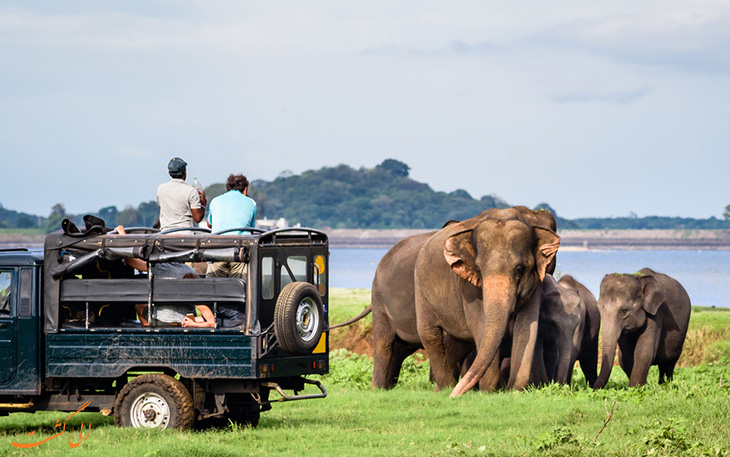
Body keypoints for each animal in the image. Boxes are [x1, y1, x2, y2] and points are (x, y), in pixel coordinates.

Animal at [412, 214, 560, 396]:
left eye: (519, 269)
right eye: (478, 269)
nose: (455, 396)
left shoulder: (535, 285)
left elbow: (527, 328)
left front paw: (513, 391)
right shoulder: (468, 287)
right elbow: (481, 327)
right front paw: (488, 392)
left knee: (456, 342)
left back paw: (443, 389)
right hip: (420, 289)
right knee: (429, 334)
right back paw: (446, 389)